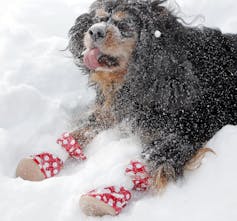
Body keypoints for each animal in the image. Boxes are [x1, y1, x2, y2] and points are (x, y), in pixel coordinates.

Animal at [67, 0, 237, 189]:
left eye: (124, 24)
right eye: (99, 19)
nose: (95, 31)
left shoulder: (188, 130)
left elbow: (154, 164)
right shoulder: (118, 109)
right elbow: (86, 127)